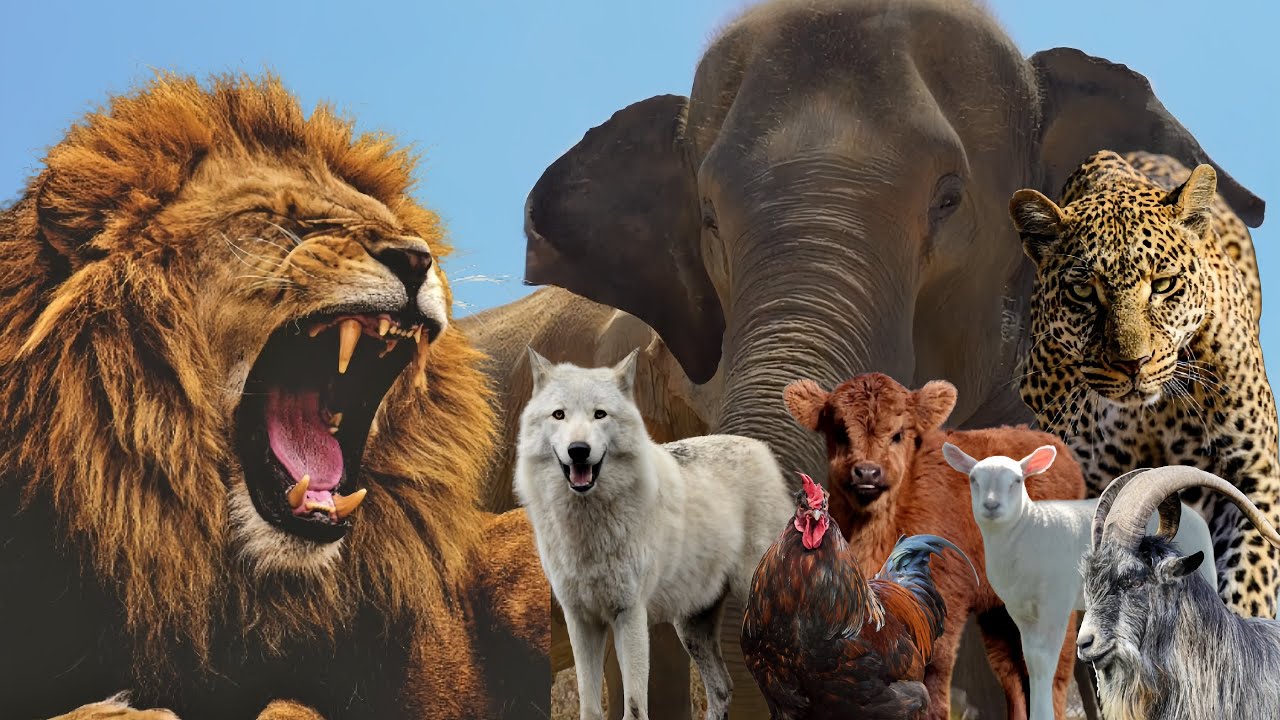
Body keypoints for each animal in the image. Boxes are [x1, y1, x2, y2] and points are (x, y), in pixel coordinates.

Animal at [514, 347, 794, 720]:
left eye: (600, 414)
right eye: (559, 415)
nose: (578, 450)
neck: (587, 529)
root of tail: (762, 449)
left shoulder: (630, 615)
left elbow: (633, 708)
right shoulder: (581, 620)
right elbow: (590, 706)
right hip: (691, 627)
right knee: (723, 688)